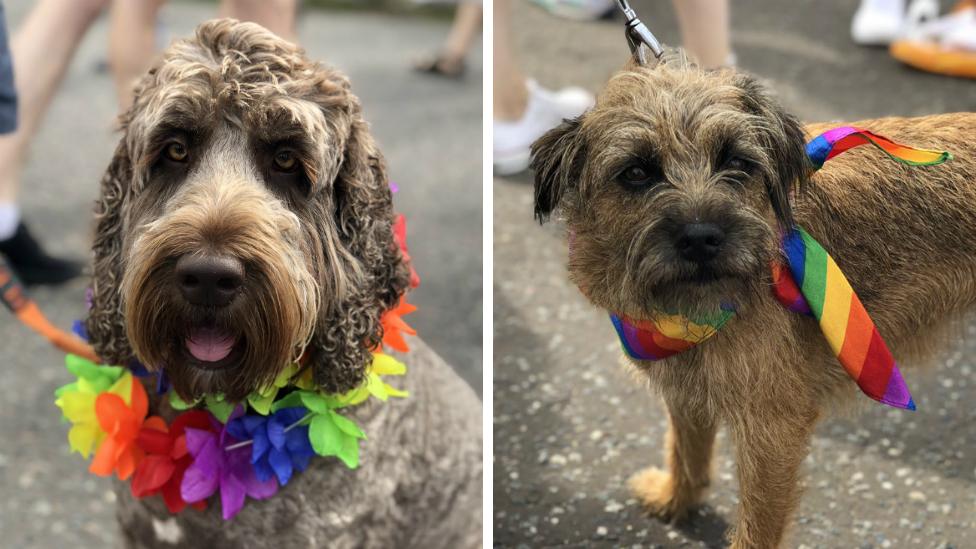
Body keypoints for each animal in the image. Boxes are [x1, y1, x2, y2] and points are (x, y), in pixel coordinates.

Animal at [528, 50, 976, 544]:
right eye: (638, 172)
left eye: (737, 162)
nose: (702, 237)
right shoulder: (688, 393)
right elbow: (686, 451)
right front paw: (675, 499)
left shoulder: (772, 433)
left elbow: (756, 526)